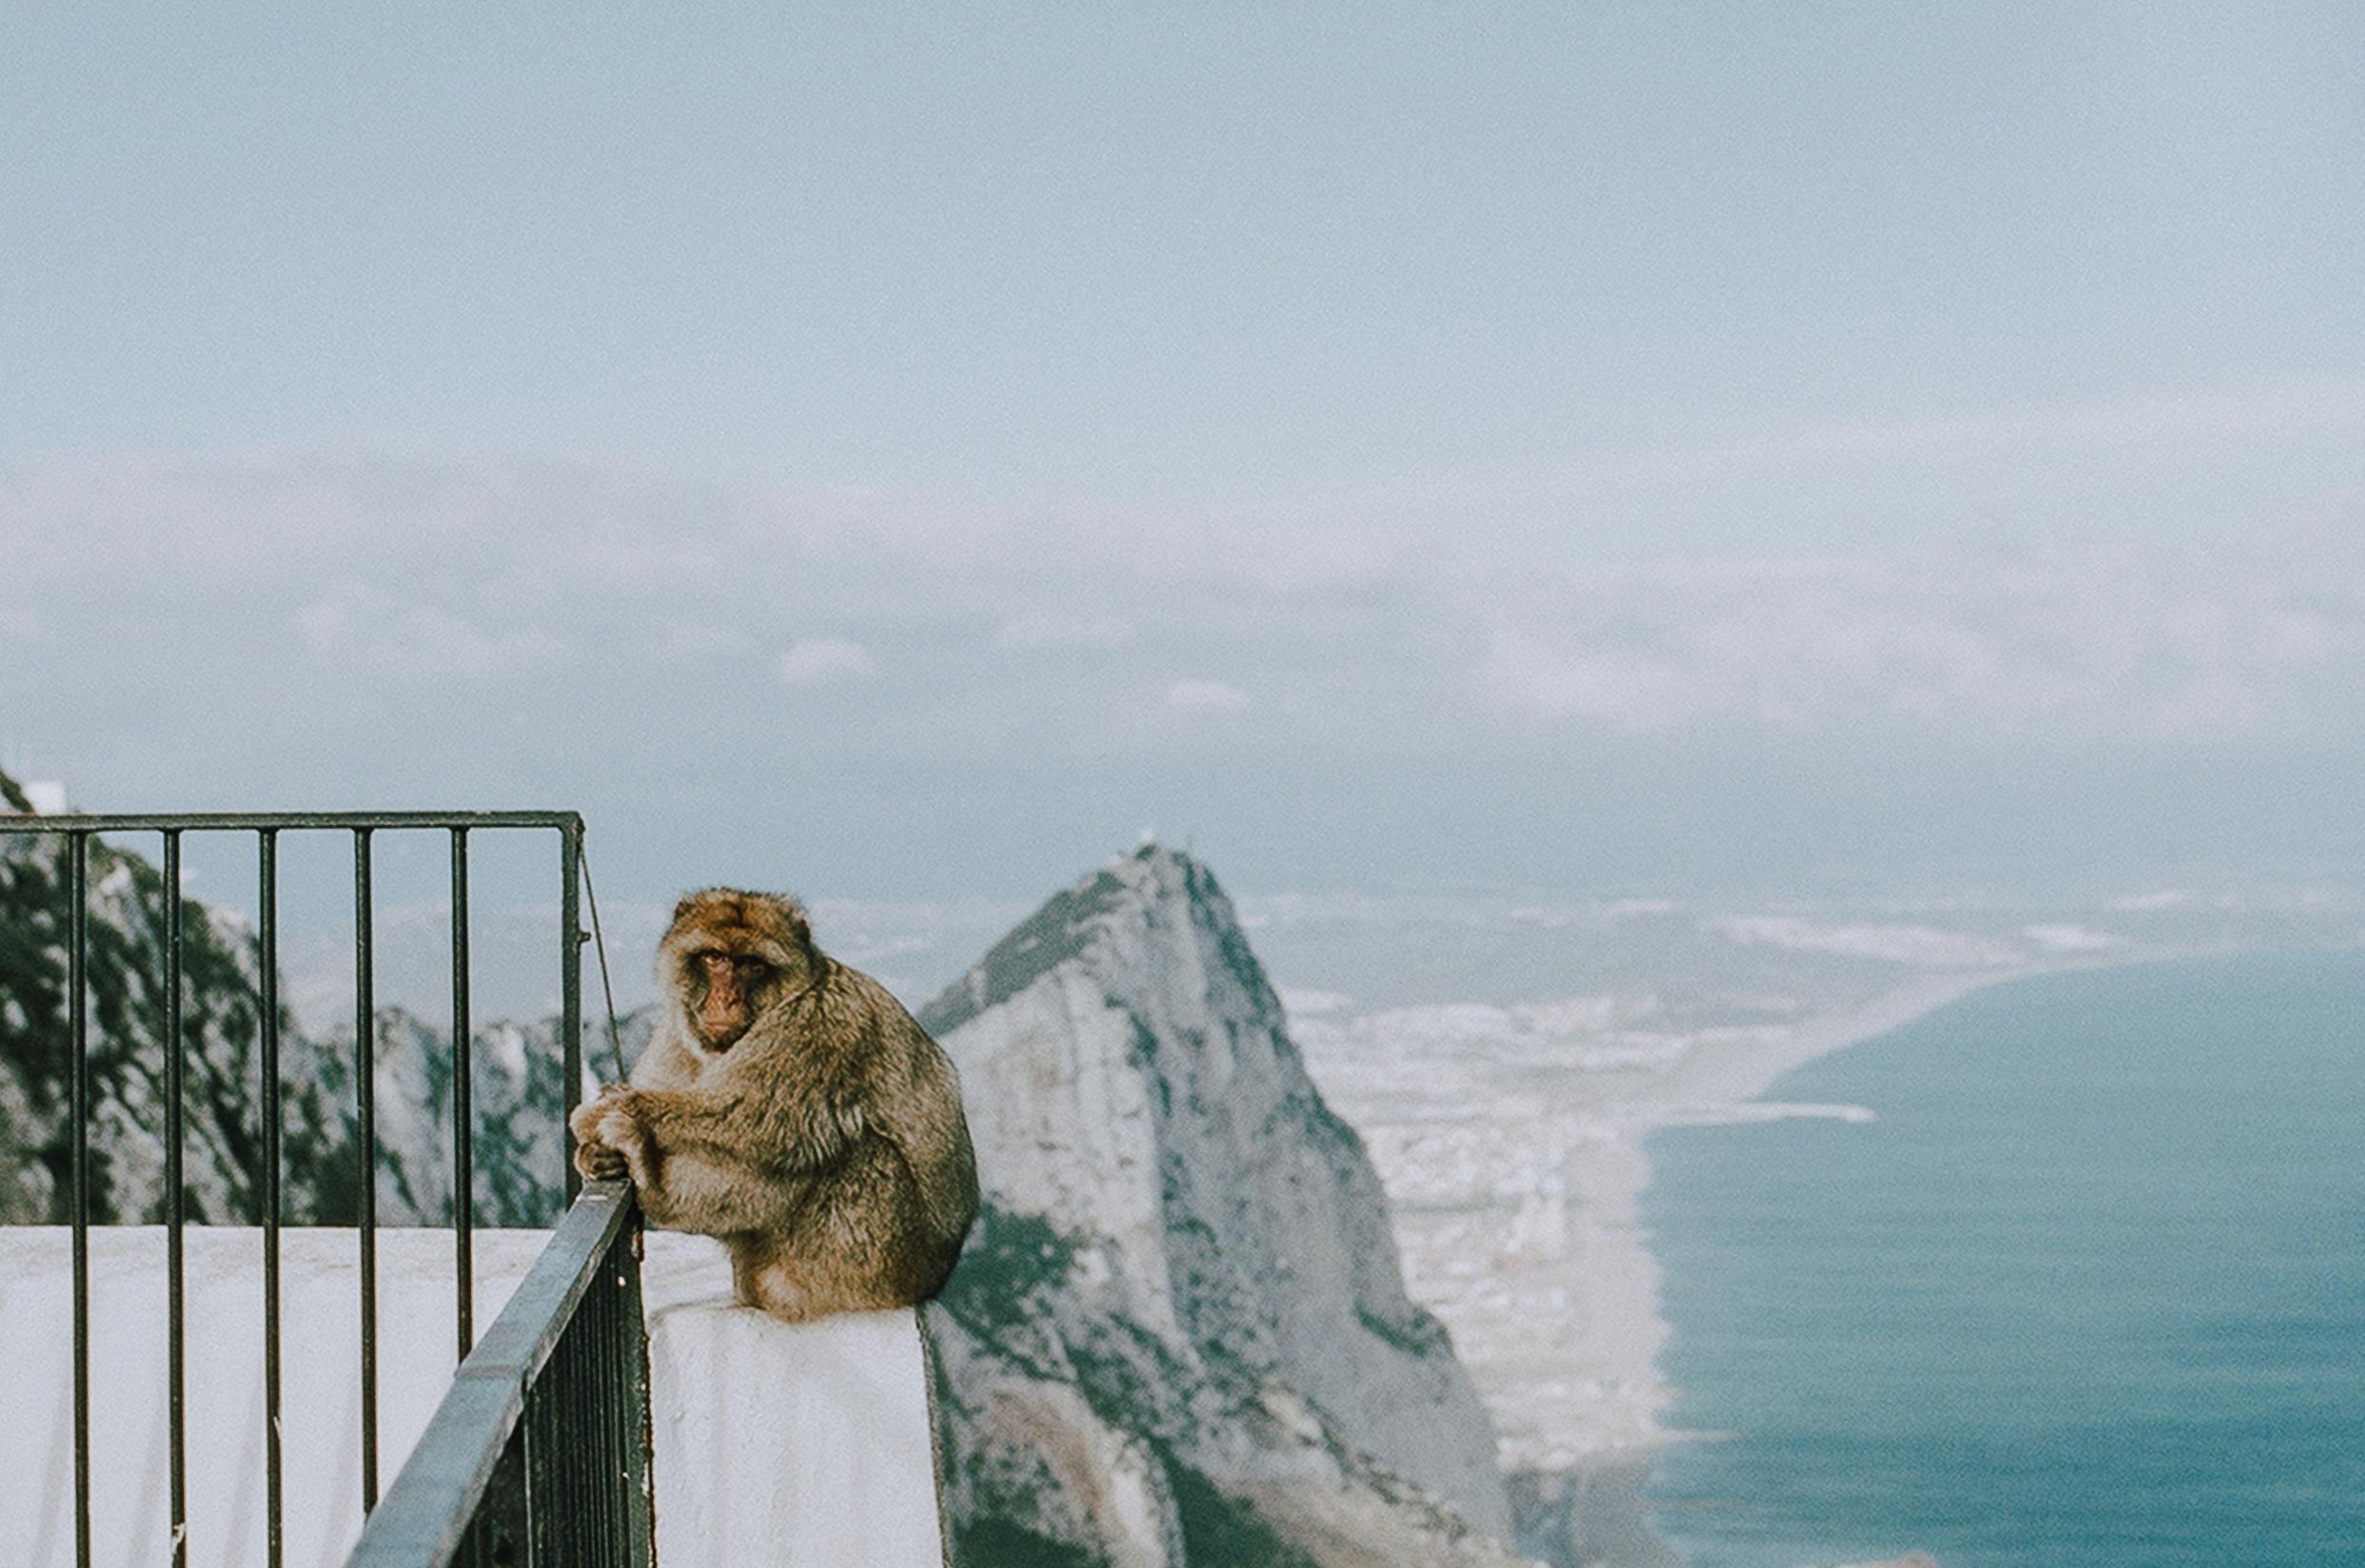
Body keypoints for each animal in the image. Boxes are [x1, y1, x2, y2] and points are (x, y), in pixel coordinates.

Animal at [572, 889, 978, 1315]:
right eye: (714, 958)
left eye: (752, 965)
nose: (727, 998)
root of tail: (931, 1283)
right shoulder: (675, 1034)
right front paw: (593, 1155)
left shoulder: (819, 1024)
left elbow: (759, 1116)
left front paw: (605, 1112)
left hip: (871, 1265)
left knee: (831, 1146)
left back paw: (655, 1186)